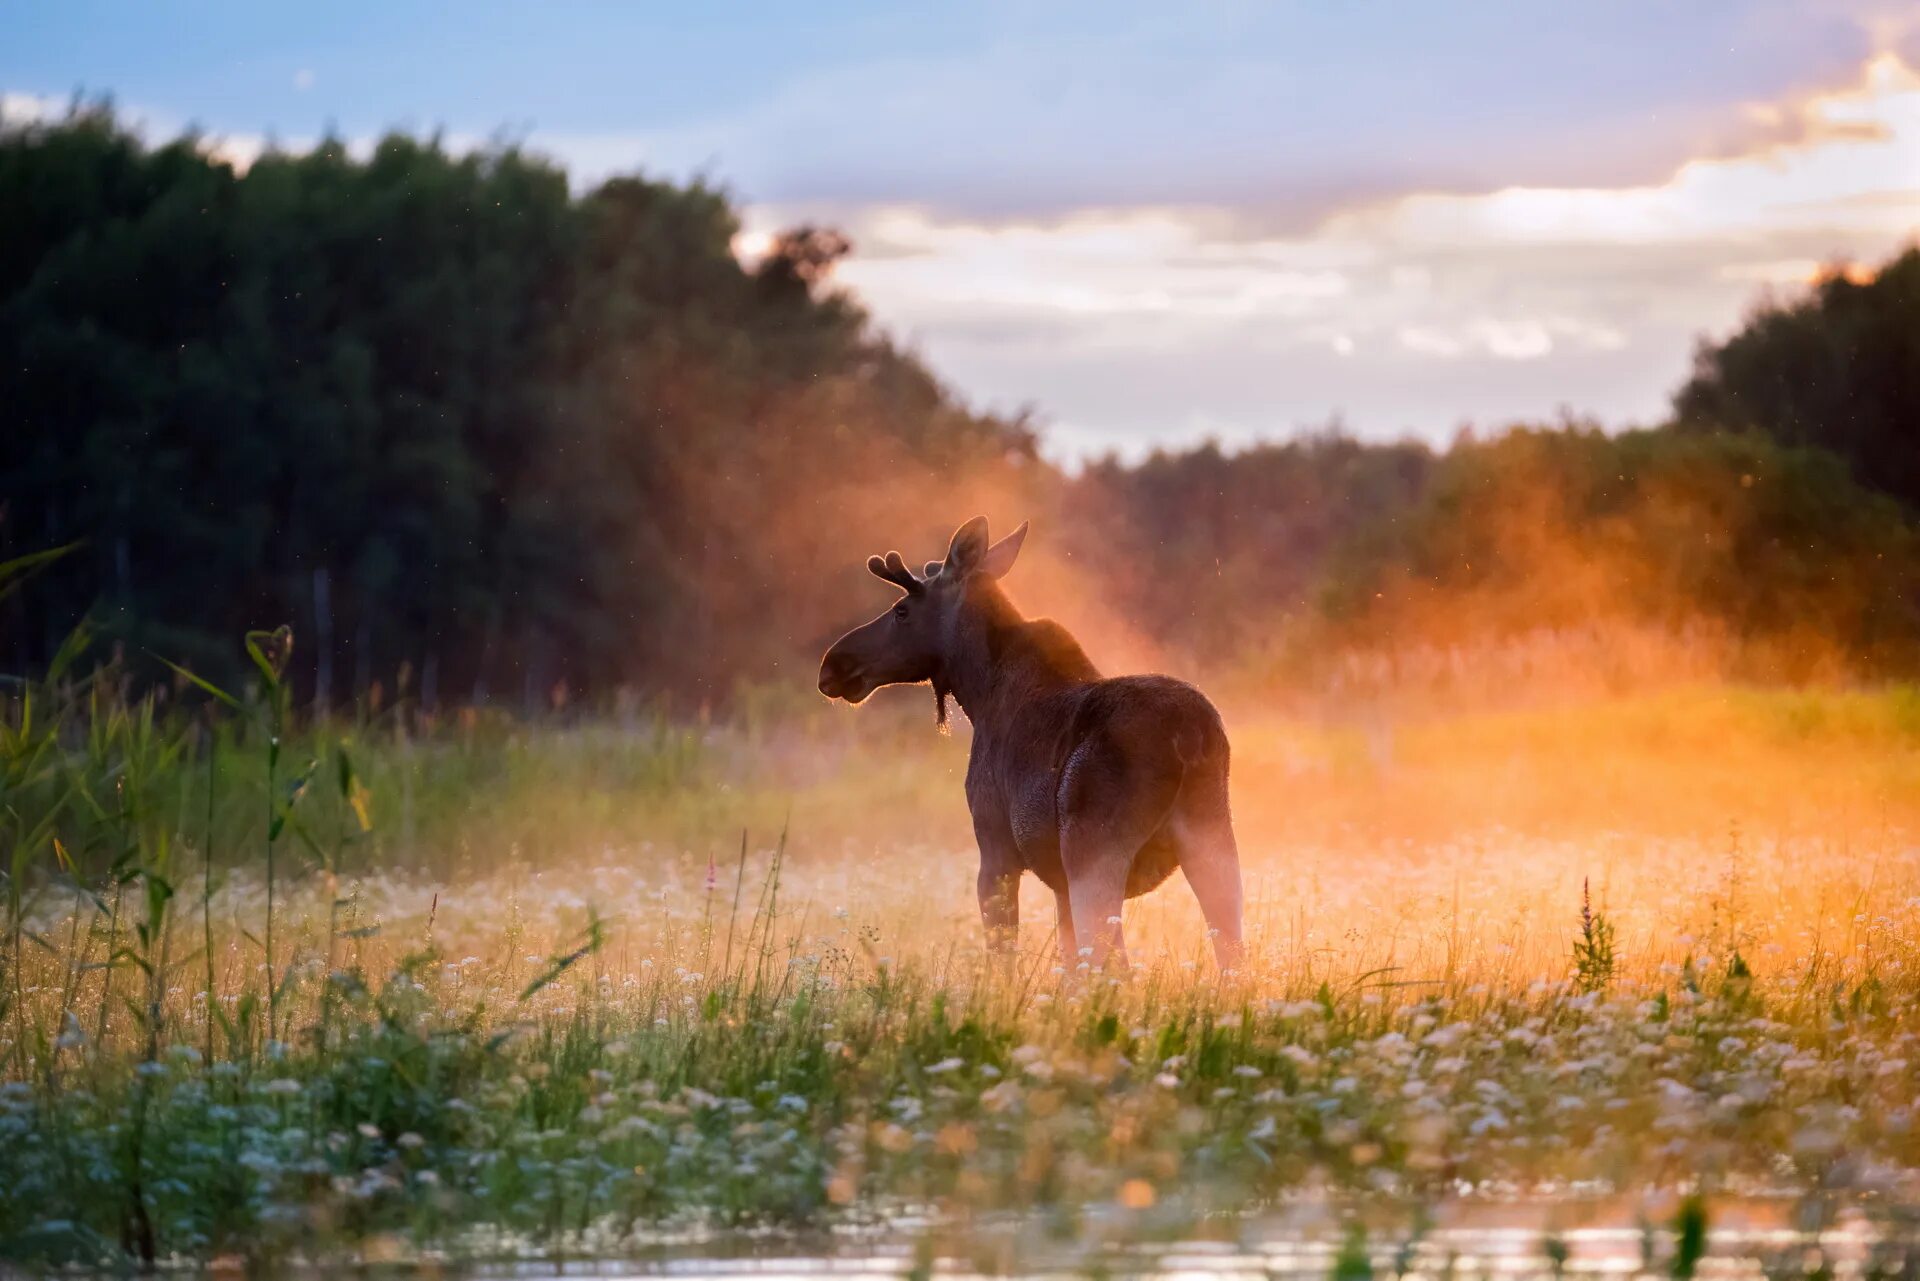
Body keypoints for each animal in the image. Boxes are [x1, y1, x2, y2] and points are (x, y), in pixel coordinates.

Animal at [821, 514, 1244, 967]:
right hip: (1213, 838)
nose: (833, 664)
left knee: (1115, 963)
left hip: (1093, 850)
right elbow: (1069, 967)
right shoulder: (1056, 881)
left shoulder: (996, 849)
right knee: (1233, 957)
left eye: (901, 611)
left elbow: (1003, 957)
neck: (978, 691)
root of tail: (1188, 736)